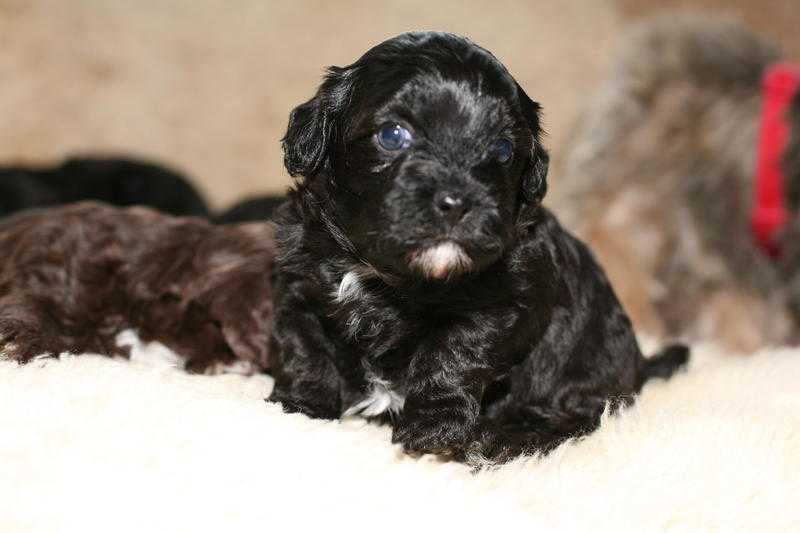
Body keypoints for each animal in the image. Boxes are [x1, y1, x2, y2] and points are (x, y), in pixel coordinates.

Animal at [268, 31, 688, 462]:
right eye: (392, 135)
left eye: (502, 149)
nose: (457, 202)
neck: (384, 275)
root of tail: (638, 368)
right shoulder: (300, 285)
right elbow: (305, 344)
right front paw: (301, 406)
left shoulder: (503, 302)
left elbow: (451, 354)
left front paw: (433, 430)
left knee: (576, 416)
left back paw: (503, 438)